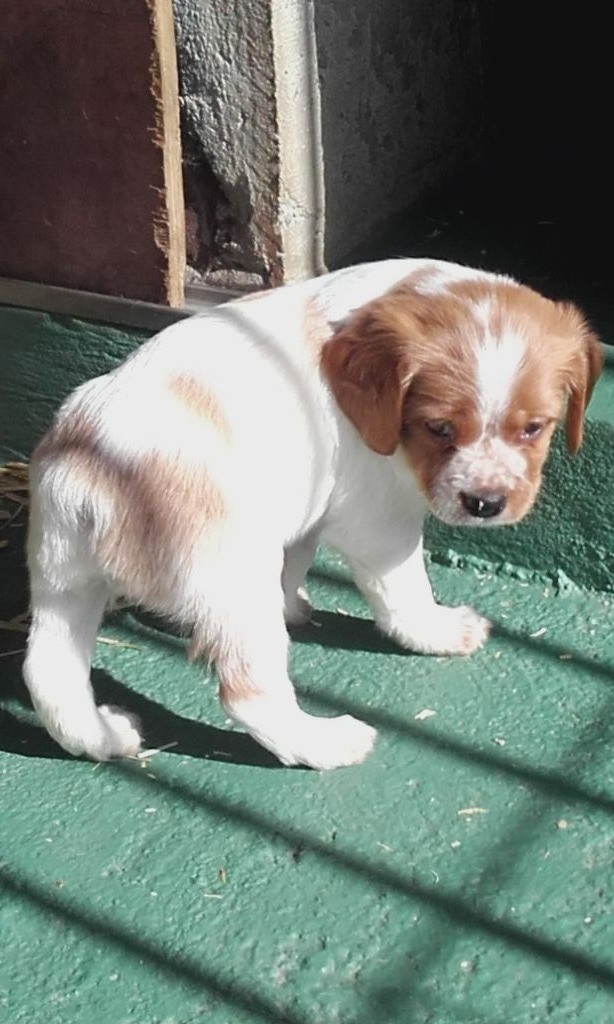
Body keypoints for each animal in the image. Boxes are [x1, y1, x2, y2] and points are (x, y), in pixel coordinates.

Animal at [23, 259, 603, 769]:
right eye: (439, 428)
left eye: (534, 428)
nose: (485, 504)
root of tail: (85, 468)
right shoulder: (380, 524)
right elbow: (405, 592)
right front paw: (439, 631)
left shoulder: (303, 509)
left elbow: (297, 561)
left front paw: (295, 605)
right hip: (235, 582)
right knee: (248, 693)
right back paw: (326, 745)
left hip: (64, 581)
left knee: (47, 672)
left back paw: (103, 736)